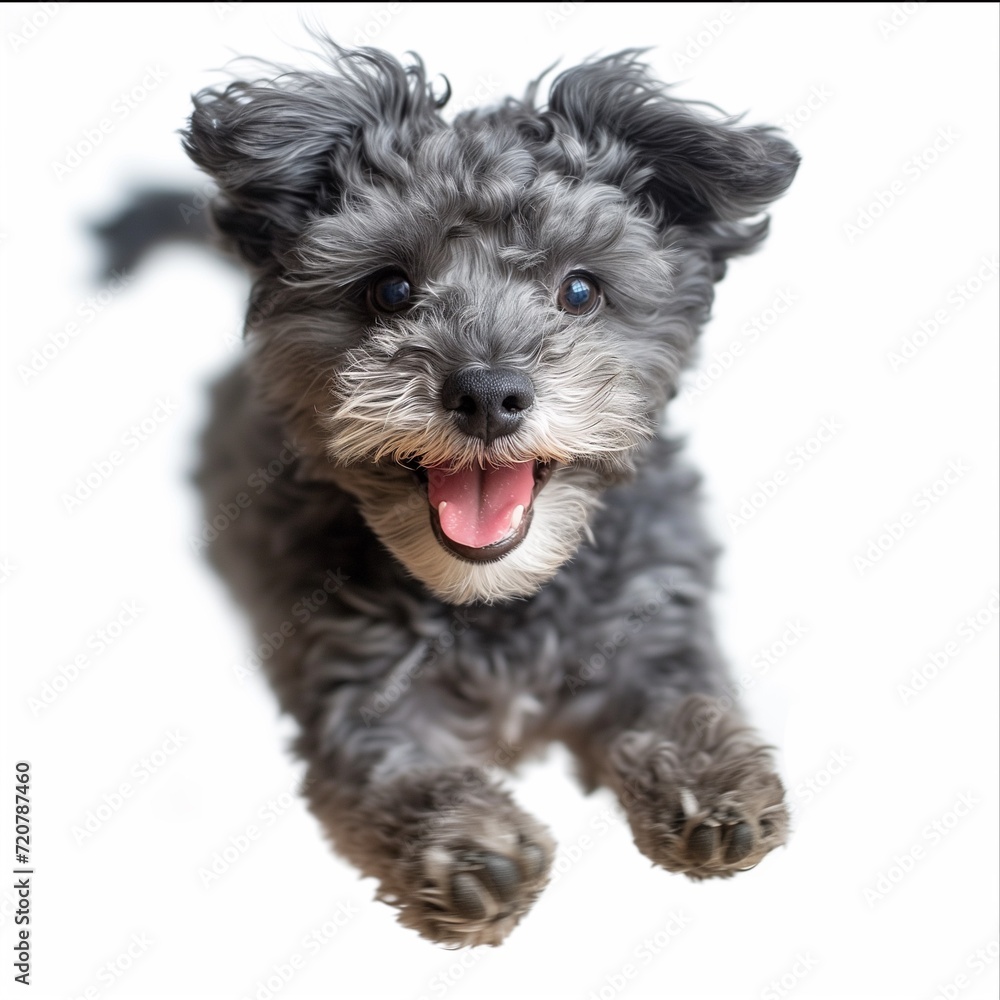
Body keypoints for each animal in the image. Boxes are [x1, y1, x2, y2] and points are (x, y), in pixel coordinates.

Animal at [150, 39, 796, 944]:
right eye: (390, 290)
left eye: (580, 290)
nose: (488, 393)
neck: (501, 602)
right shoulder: (359, 682)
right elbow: (401, 772)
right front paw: (470, 847)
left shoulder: (649, 616)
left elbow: (681, 694)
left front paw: (712, 778)